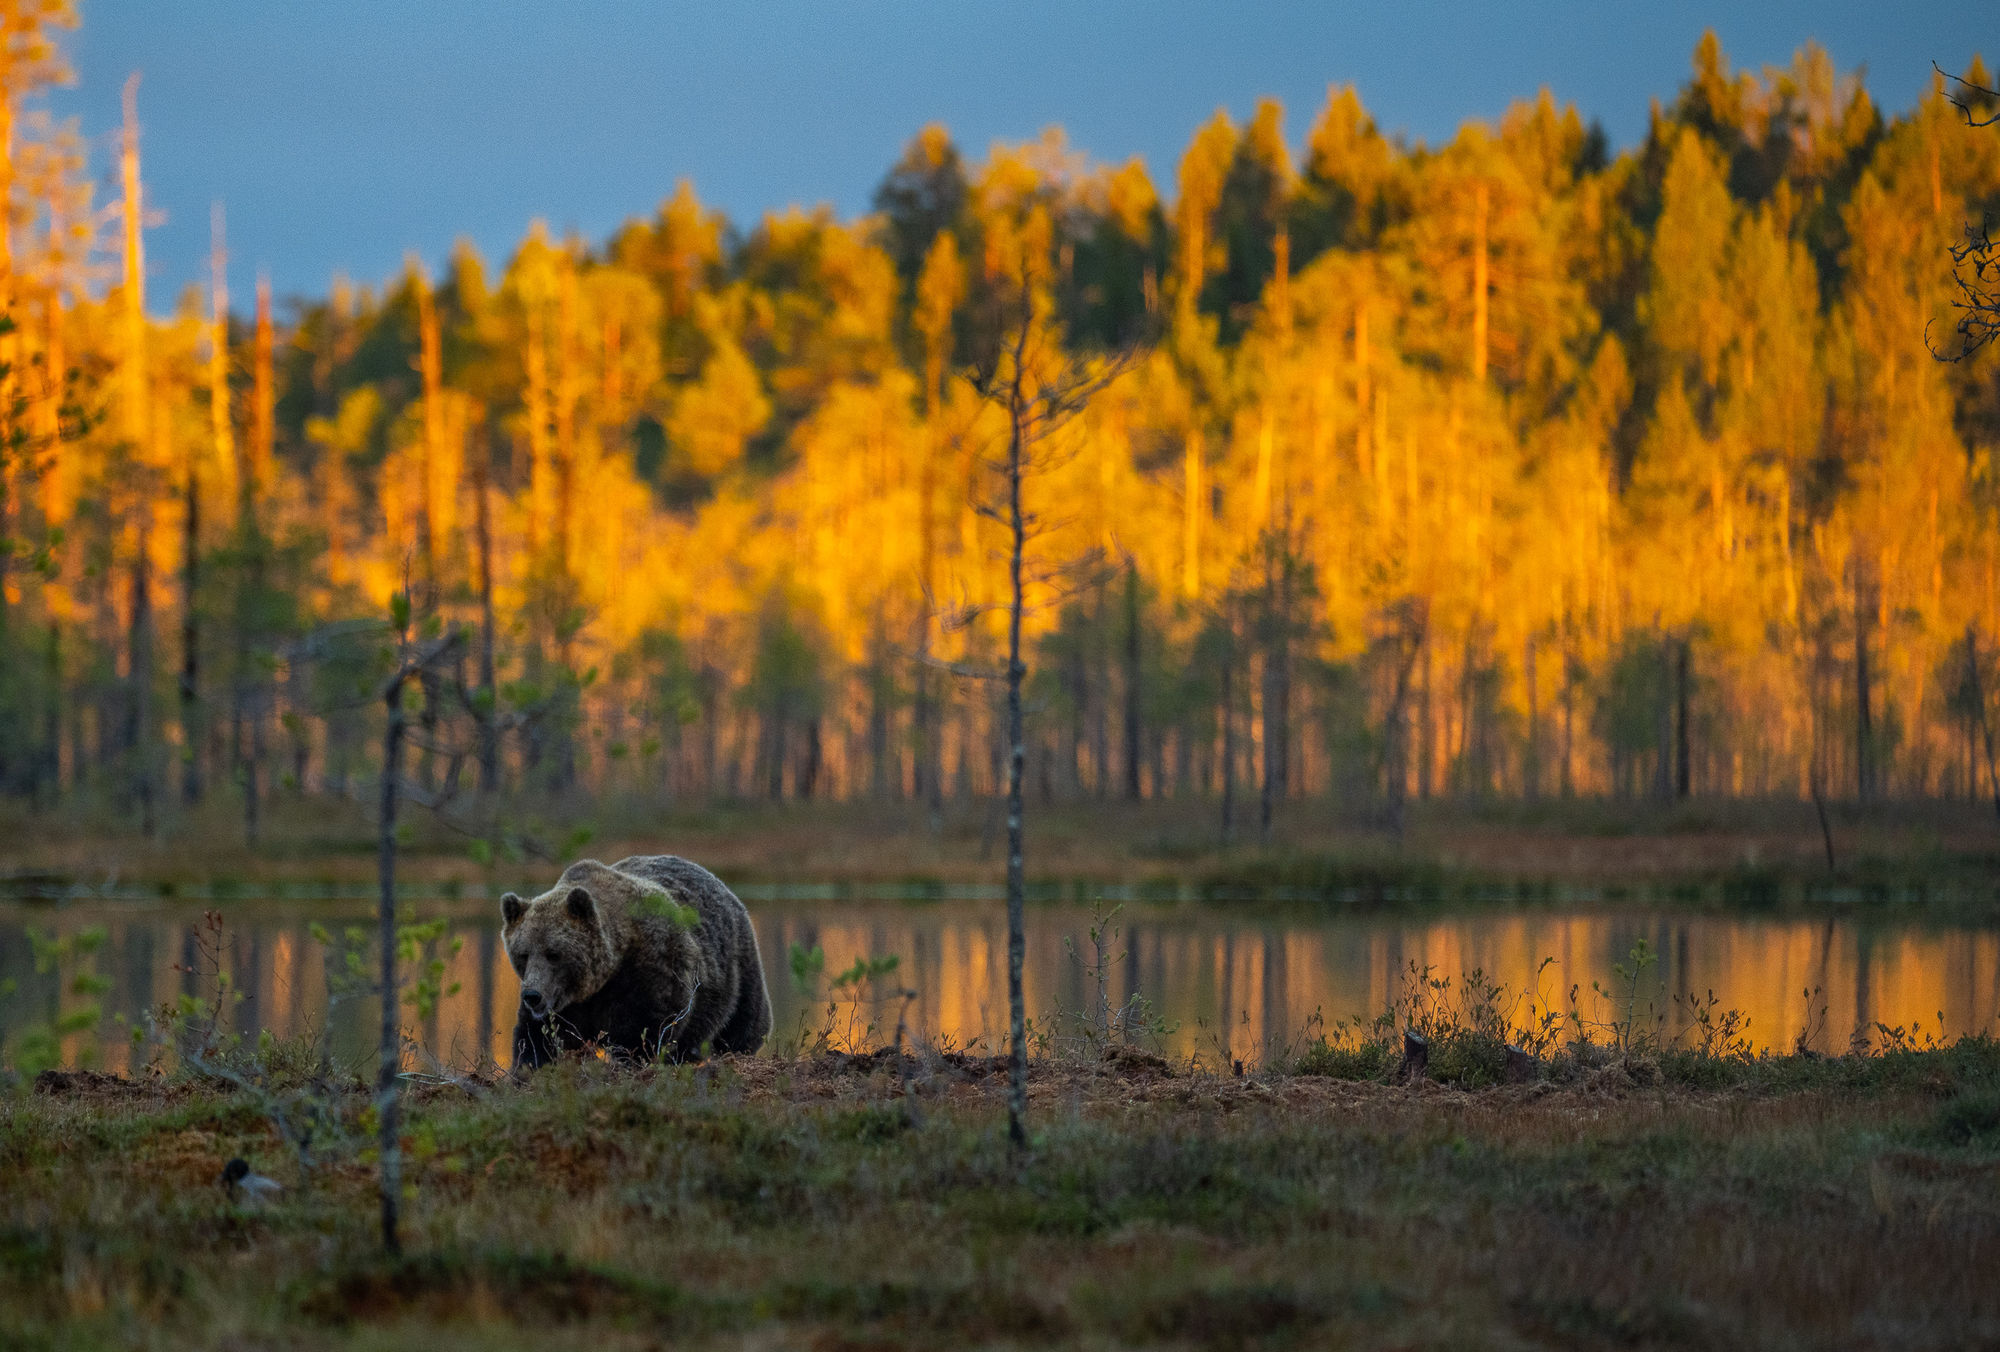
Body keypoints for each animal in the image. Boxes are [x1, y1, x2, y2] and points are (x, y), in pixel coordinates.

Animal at [501, 854, 771, 1069]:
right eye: (523, 954)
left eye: (554, 953)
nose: (533, 995)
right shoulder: (566, 1004)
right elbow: (538, 1035)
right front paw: (528, 1067)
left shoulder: (649, 971)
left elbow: (643, 1030)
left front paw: (630, 1059)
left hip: (739, 967)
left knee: (744, 1021)